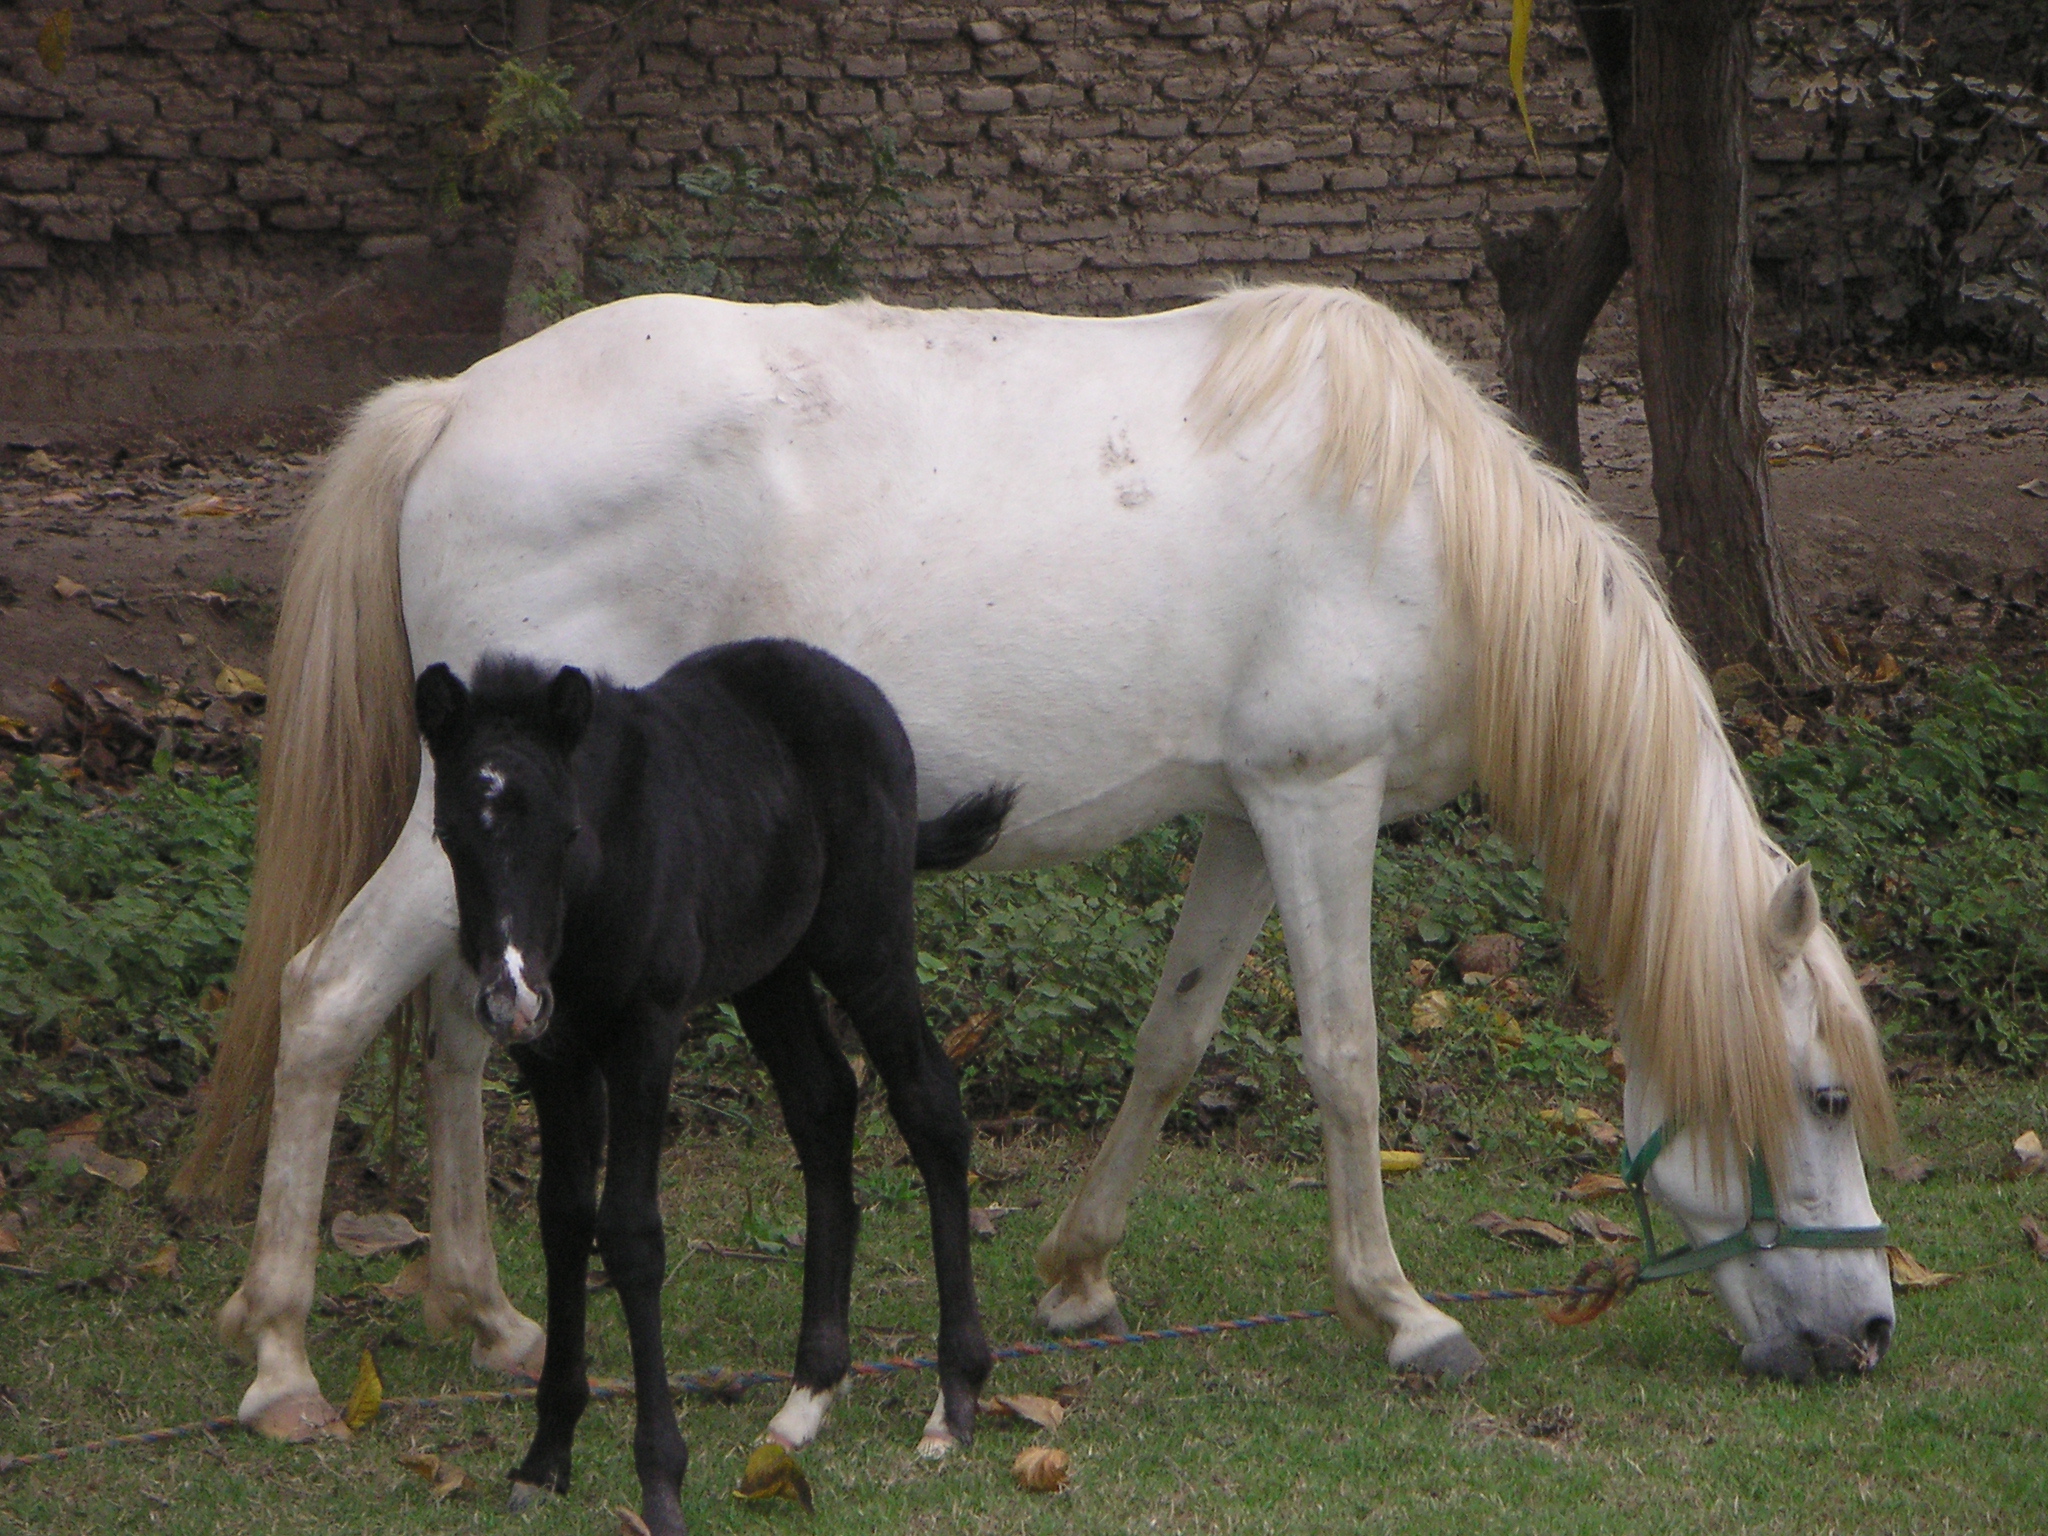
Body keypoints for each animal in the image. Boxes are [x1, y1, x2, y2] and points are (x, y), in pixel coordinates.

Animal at [415, 638, 1015, 1536]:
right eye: (450, 835)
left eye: (565, 830)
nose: (509, 997)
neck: (592, 895)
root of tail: (860, 692)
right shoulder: (554, 1056)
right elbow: (564, 1221)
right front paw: (545, 1457)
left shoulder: (646, 1031)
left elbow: (631, 1234)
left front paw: (661, 1483)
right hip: (770, 967)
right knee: (823, 1102)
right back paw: (808, 1395)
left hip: (866, 937)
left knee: (929, 1106)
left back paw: (953, 1400)